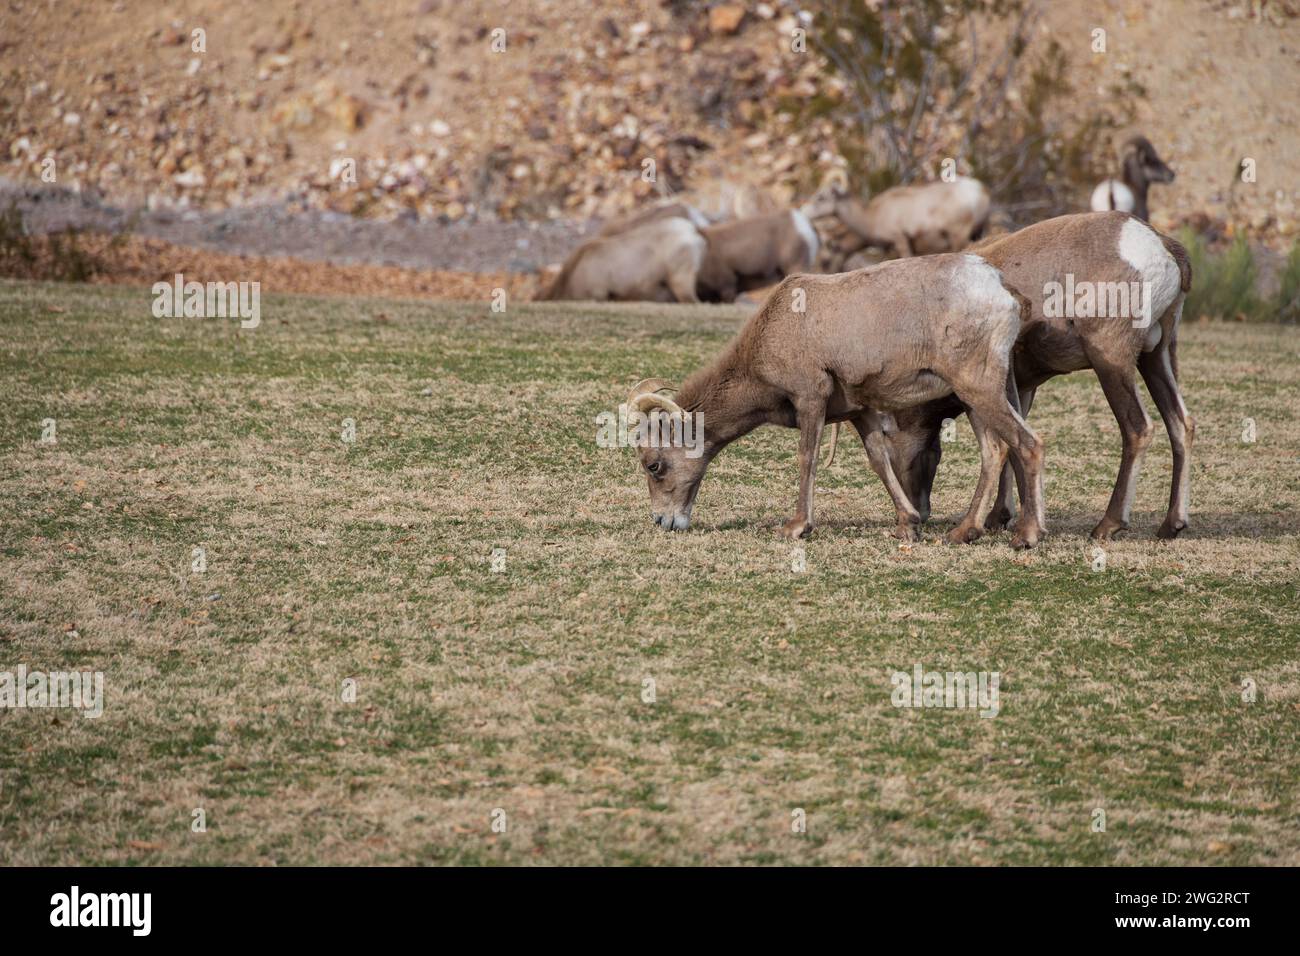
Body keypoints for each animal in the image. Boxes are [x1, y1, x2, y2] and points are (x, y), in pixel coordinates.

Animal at [625, 253, 1047, 548]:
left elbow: (806, 459)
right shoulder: (861, 413)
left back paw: (1024, 538)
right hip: (989, 394)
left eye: (653, 465)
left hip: (976, 389)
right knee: (997, 451)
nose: (664, 522)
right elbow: (879, 462)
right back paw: (968, 532)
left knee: (1026, 445)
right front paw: (906, 526)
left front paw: (796, 527)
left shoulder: (810, 398)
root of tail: (1001, 289)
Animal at [804, 175, 991, 267]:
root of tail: (980, 191)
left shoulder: (900, 241)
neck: (872, 217)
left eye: (821, 197)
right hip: (979, 232)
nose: (804, 212)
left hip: (959, 236)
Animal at [834, 211, 1194, 542]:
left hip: (1111, 361)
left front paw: (1014, 526)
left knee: (1138, 428)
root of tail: (1161, 247)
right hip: (1156, 356)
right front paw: (1002, 518)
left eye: (888, 433)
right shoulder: (1021, 387)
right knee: (1181, 424)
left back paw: (1107, 524)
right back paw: (1172, 524)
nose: (919, 512)